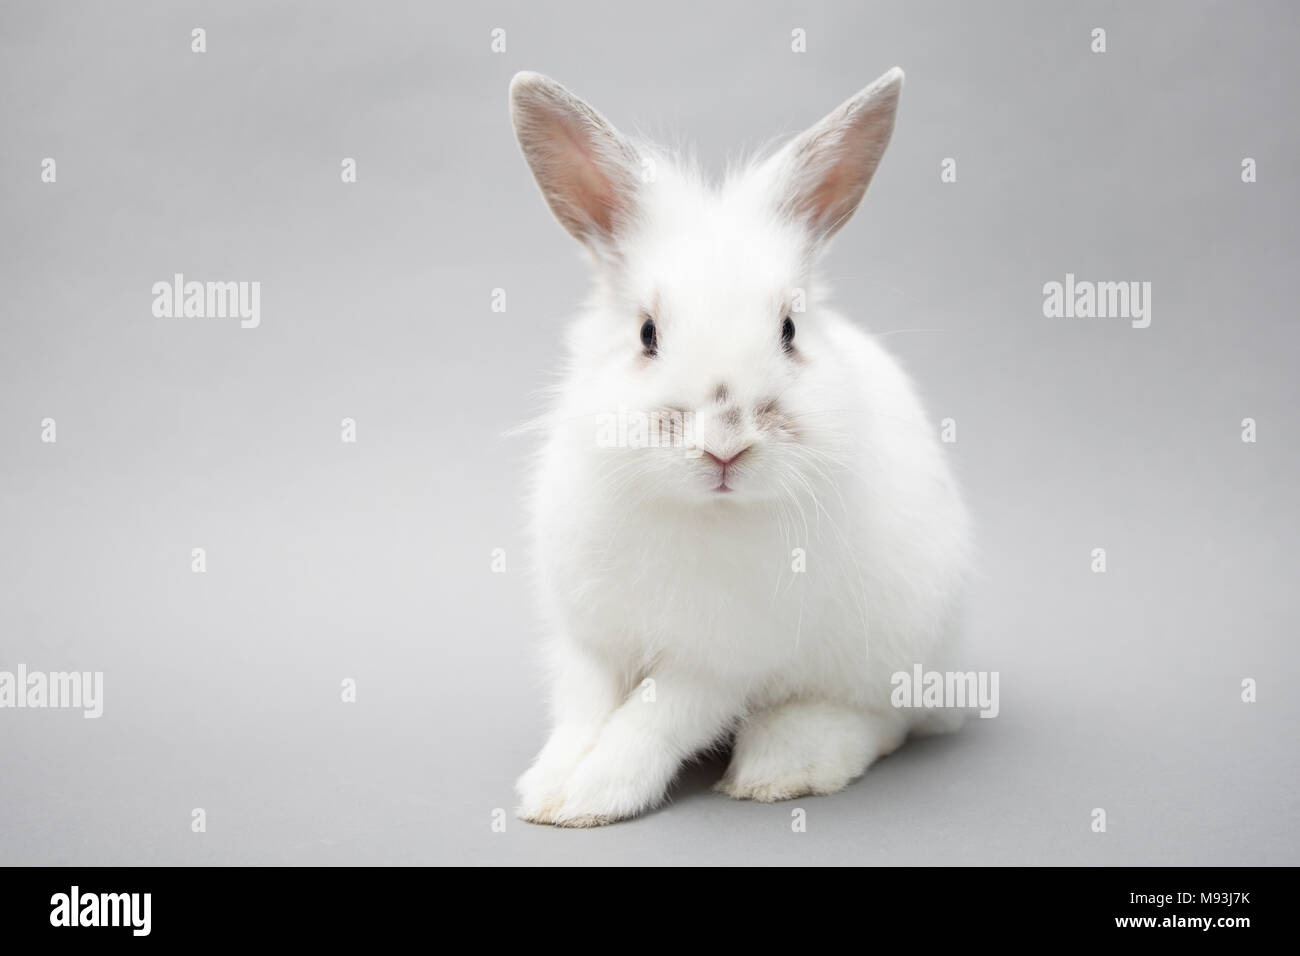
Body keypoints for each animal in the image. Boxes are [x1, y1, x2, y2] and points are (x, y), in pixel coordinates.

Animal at [508, 67, 971, 827]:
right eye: (646, 334)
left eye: (789, 330)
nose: (724, 446)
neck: (698, 513)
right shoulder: (591, 641)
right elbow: (585, 711)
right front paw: (547, 792)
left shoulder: (721, 662)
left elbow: (652, 720)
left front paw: (594, 795)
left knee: (884, 720)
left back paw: (784, 765)